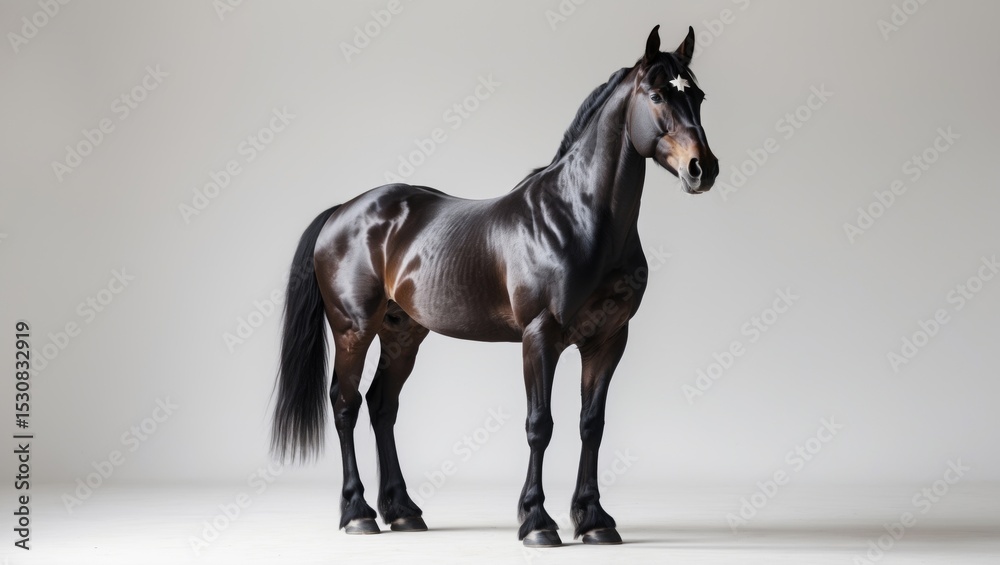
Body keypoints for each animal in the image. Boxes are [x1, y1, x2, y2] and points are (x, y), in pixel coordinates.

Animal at [271, 25, 718, 547]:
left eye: (698, 96)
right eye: (657, 95)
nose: (702, 169)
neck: (579, 216)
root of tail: (342, 211)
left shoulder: (609, 339)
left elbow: (592, 425)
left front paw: (594, 520)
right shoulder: (539, 337)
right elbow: (540, 425)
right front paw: (537, 521)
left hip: (402, 334)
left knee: (383, 407)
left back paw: (402, 511)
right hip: (353, 331)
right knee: (346, 405)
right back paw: (357, 512)